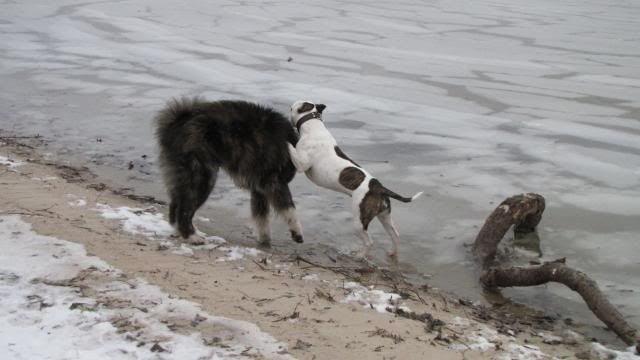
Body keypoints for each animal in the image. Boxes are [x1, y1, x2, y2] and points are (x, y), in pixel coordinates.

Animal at [288, 101, 420, 258]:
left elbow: (291, 149)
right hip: (384, 216)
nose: (288, 109)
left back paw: (359, 256)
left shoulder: (301, 164)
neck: (313, 125)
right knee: (394, 234)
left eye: (291, 108)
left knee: (369, 242)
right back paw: (393, 252)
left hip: (359, 221)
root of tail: (379, 187)